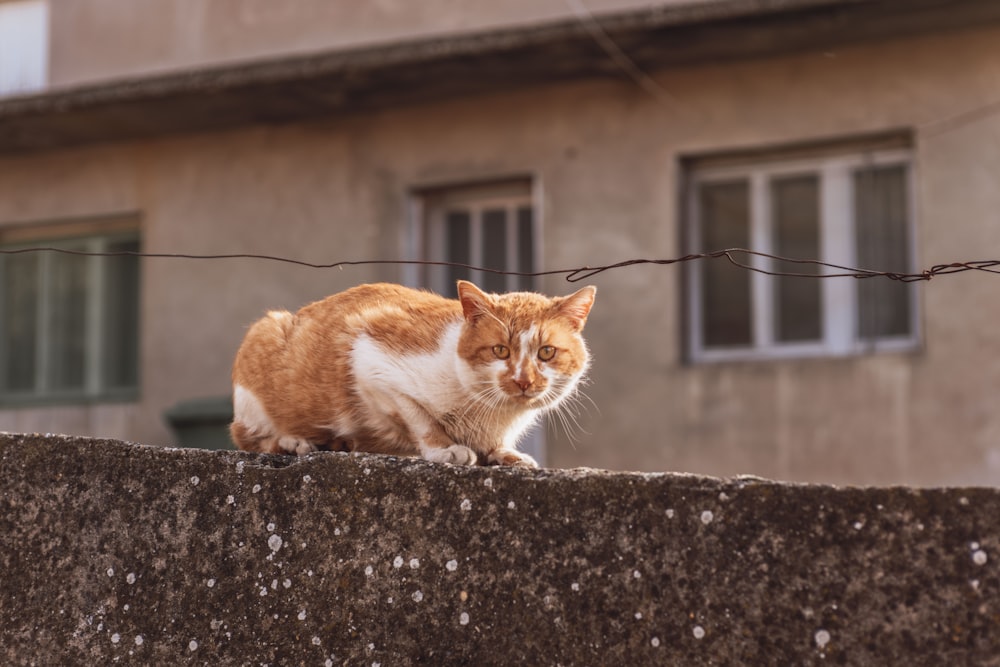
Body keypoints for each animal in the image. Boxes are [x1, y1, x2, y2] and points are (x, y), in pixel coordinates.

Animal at [232, 282, 592, 470]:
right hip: (264, 338)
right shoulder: (370, 362)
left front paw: (505, 453)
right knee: (250, 437)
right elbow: (422, 421)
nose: (523, 380)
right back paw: (295, 442)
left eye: (546, 352)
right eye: (500, 350)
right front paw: (445, 450)